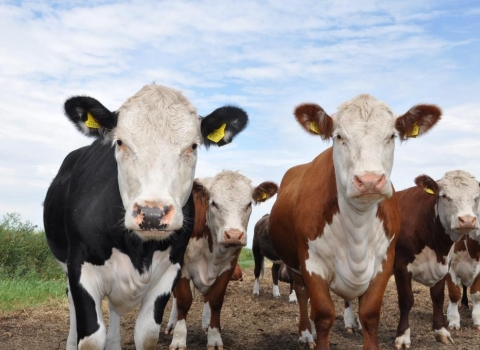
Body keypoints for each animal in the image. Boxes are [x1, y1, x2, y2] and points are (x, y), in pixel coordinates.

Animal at [43, 83, 249, 348]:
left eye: (193, 146)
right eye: (120, 142)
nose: (153, 214)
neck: (138, 249)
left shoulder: (168, 273)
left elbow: (147, 335)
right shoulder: (80, 268)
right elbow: (90, 338)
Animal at [165, 171, 278, 348]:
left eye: (249, 204)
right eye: (213, 203)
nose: (234, 235)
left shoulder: (228, 268)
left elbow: (216, 300)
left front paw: (214, 337)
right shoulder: (181, 266)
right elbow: (183, 300)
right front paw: (178, 339)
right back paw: (171, 324)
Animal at [268, 94, 440, 348]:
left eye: (391, 136)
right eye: (339, 136)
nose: (369, 181)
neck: (357, 226)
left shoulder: (385, 262)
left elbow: (370, 314)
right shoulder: (312, 263)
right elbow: (323, 315)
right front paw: (315, 332)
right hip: (295, 264)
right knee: (301, 293)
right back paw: (306, 334)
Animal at [394, 170, 480, 348]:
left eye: (476, 197)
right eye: (444, 196)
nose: (467, 220)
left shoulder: (444, 265)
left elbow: (439, 298)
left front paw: (442, 331)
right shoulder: (401, 266)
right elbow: (406, 300)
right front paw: (403, 337)